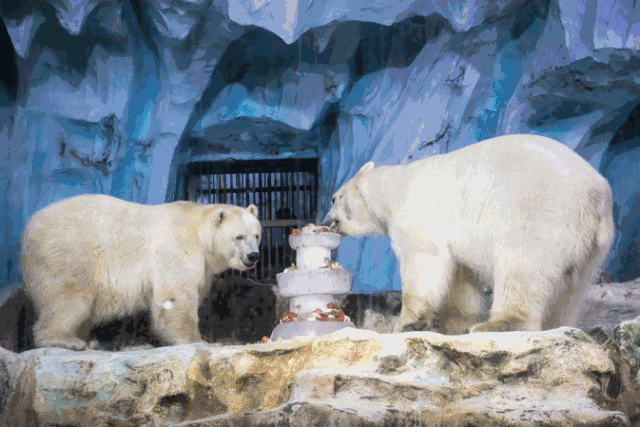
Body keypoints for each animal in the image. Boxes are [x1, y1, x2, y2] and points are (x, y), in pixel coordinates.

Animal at [20, 194, 262, 350]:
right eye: (239, 237)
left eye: (257, 235)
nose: (253, 256)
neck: (197, 232)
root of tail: (27, 230)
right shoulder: (175, 250)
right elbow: (175, 298)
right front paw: (200, 340)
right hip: (68, 253)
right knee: (68, 298)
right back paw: (66, 340)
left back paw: (88, 340)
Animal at [323, 134, 614, 334]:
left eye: (334, 199)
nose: (326, 221)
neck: (391, 188)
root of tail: (597, 194)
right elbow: (460, 277)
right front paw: (456, 324)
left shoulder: (416, 212)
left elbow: (422, 259)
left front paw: (407, 322)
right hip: (590, 246)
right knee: (572, 288)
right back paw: (556, 323)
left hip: (541, 211)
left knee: (522, 265)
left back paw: (498, 324)